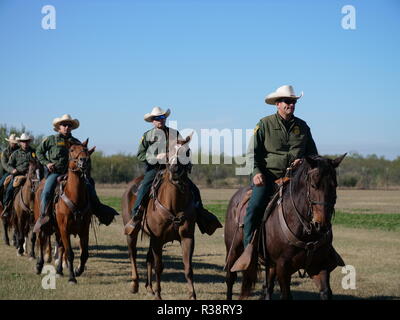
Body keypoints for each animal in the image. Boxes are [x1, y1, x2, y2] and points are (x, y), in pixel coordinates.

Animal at [122, 136, 197, 300]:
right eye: (168, 151)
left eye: (187, 151)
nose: (175, 170)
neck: (174, 203)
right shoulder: (158, 239)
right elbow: (159, 266)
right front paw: (158, 294)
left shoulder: (187, 237)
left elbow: (188, 268)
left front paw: (192, 295)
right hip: (132, 233)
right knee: (133, 254)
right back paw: (135, 284)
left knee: (148, 258)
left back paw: (149, 288)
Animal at [223, 155, 346, 300]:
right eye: (313, 185)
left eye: (334, 186)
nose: (321, 225)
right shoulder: (283, 267)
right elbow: (286, 295)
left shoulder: (319, 265)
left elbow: (326, 292)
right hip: (233, 251)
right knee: (230, 278)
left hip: (270, 264)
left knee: (268, 287)